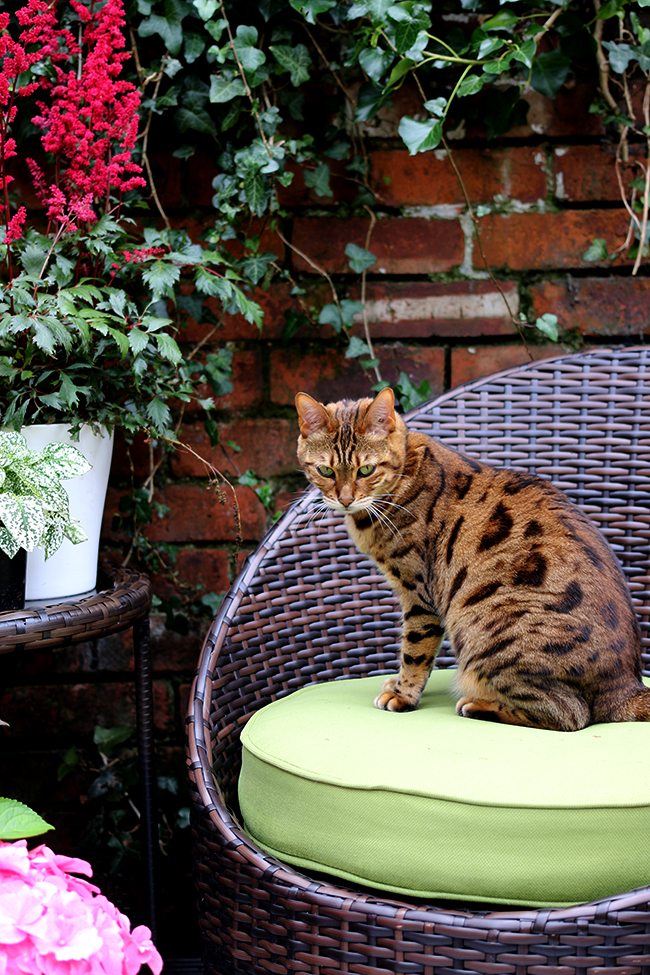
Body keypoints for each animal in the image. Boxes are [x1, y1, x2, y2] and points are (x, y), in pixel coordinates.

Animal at [294, 386, 648, 728]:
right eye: (325, 470)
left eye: (366, 469)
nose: (345, 499)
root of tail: (628, 685)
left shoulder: (419, 595)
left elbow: (414, 651)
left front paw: (402, 694)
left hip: (483, 633)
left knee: (570, 714)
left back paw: (479, 706)